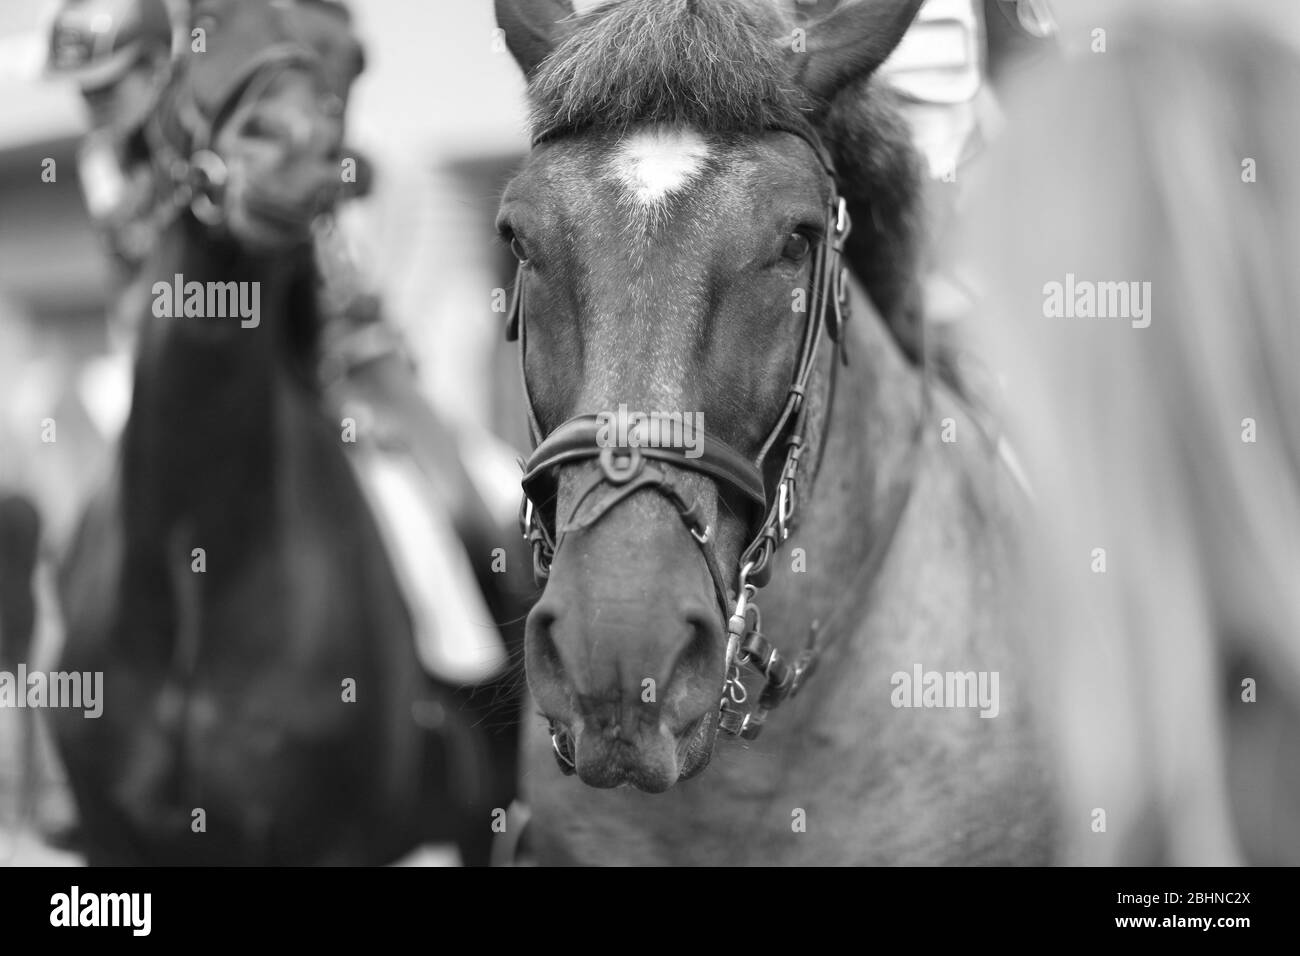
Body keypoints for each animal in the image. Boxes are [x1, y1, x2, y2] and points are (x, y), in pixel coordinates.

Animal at [53, 0, 518, 865]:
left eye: (354, 57)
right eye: (205, 19)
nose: (295, 154)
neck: (197, 564)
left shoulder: (322, 839)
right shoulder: (113, 836)